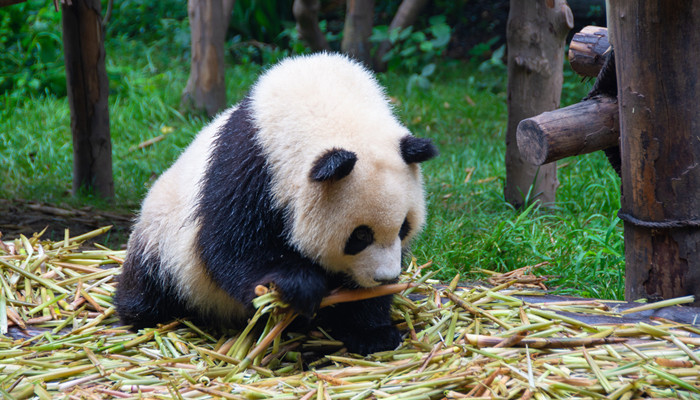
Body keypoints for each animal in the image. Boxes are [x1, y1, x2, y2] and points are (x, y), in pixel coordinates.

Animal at [113, 52, 438, 354]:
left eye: (403, 228)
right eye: (359, 236)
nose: (386, 277)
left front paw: (373, 332)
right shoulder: (249, 165)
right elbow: (230, 245)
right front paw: (299, 287)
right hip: (162, 236)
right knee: (150, 284)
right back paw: (139, 313)